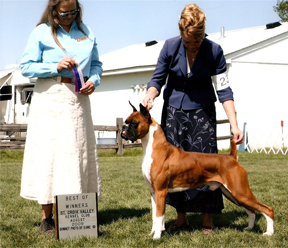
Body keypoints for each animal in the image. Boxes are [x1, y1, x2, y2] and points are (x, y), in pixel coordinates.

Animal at [120, 101, 274, 239]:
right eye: (126, 122)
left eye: (134, 123)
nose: (123, 129)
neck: (154, 147)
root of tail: (232, 157)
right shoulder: (153, 192)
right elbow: (155, 217)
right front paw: (153, 233)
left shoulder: (161, 191)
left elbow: (159, 216)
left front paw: (157, 237)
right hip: (233, 194)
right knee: (252, 211)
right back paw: (249, 228)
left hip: (240, 192)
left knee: (267, 209)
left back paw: (269, 233)